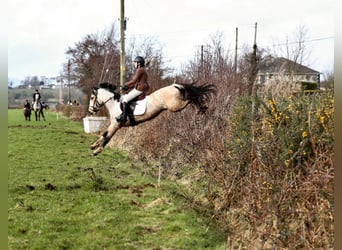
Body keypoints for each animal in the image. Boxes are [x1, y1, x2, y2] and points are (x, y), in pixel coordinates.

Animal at [87, 82, 215, 156]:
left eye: (92, 97)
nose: (90, 111)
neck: (114, 104)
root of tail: (174, 85)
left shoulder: (116, 125)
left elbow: (107, 136)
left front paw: (97, 150)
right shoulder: (114, 125)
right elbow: (104, 134)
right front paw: (93, 146)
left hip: (175, 106)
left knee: (190, 98)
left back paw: (202, 107)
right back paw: (202, 108)